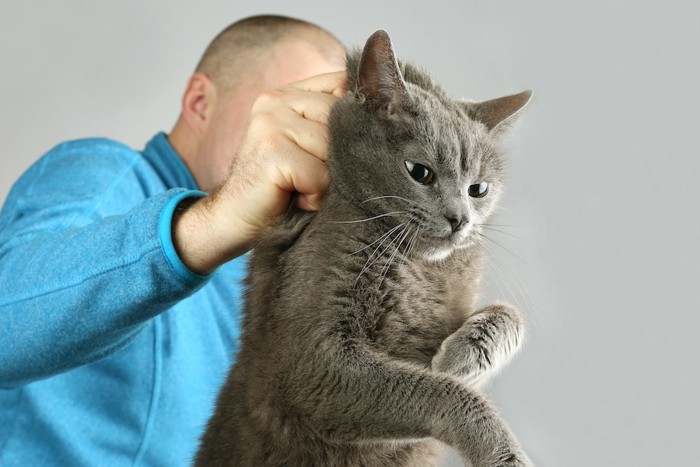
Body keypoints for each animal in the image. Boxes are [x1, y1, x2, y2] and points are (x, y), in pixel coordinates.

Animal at [194, 30, 532, 467]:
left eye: (479, 189)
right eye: (420, 172)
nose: (460, 219)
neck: (422, 268)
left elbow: (511, 316)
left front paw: (461, 358)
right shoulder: (315, 362)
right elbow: (442, 393)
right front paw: (504, 453)